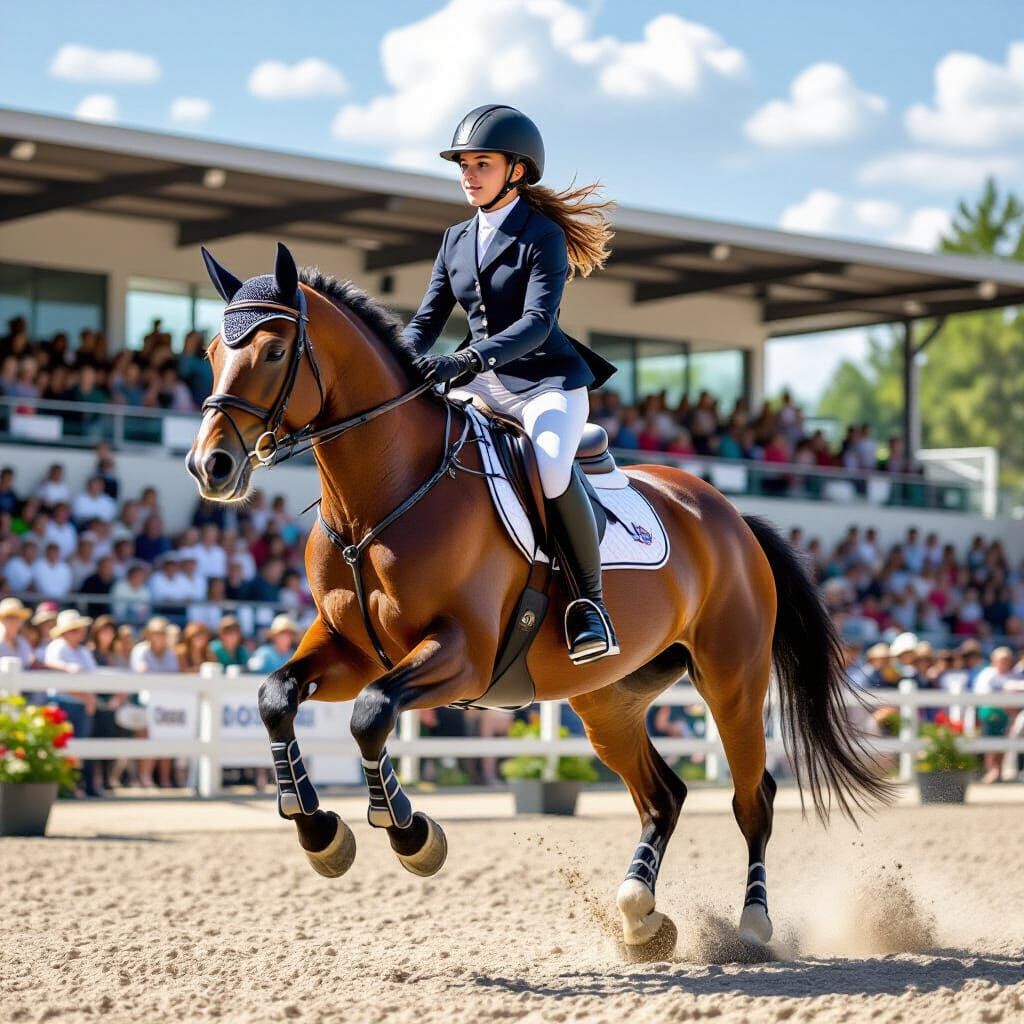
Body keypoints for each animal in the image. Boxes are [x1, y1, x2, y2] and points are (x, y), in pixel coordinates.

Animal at [186, 242, 890, 958]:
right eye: (213, 350)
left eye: (275, 352)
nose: (210, 467)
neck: (380, 498)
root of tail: (728, 513)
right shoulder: (349, 649)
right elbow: (277, 697)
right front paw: (319, 832)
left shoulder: (461, 656)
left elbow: (372, 714)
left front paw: (411, 834)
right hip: (608, 700)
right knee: (662, 795)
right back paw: (641, 915)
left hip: (732, 679)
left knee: (754, 796)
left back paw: (752, 925)